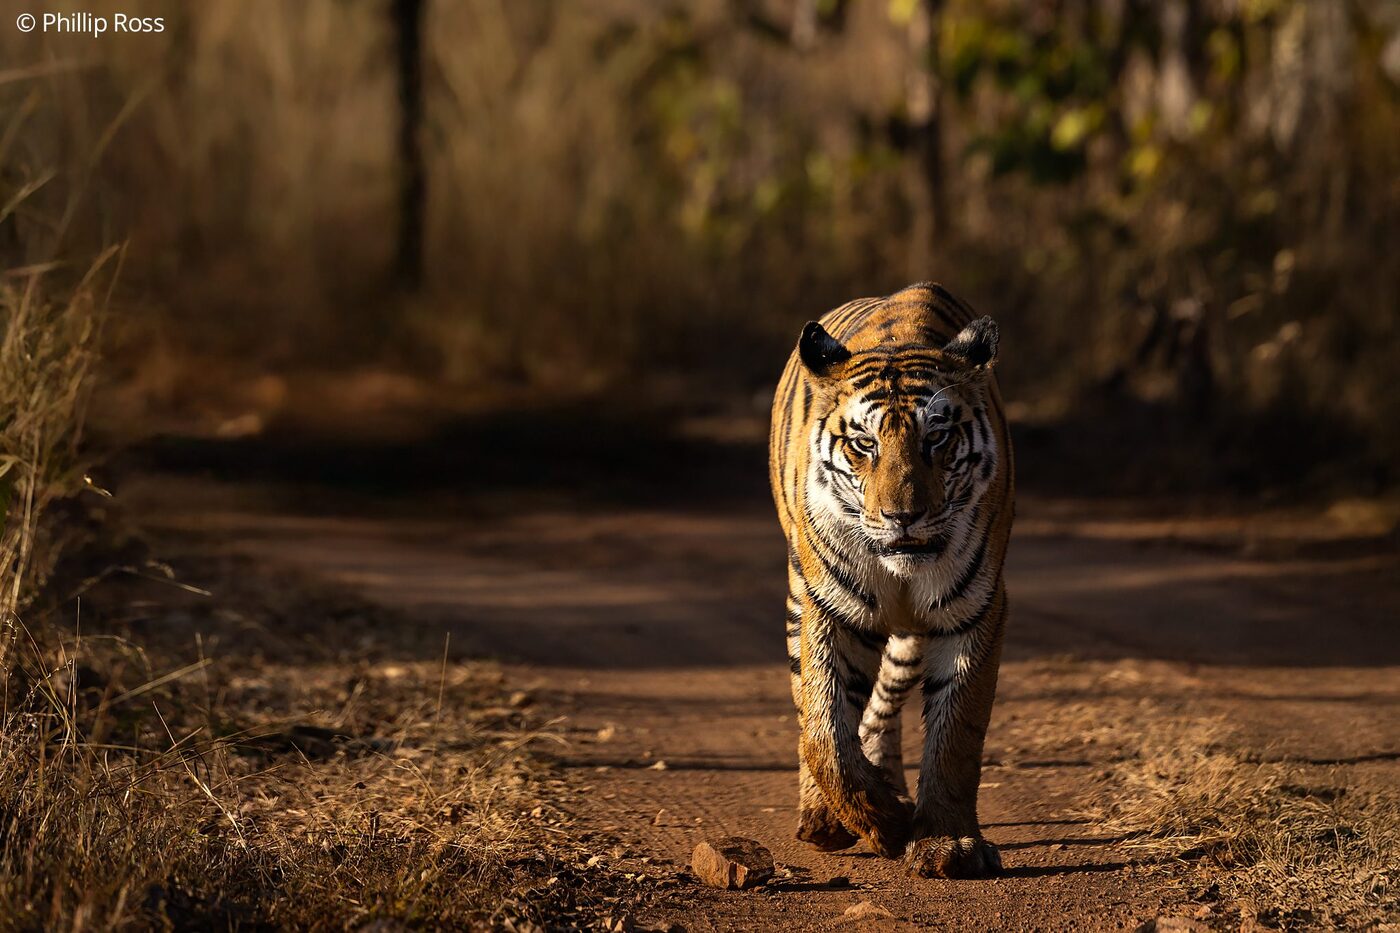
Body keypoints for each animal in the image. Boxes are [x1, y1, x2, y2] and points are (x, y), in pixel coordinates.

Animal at [768, 282, 1013, 879]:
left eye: (937, 438)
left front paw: (947, 843)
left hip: (910, 636)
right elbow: (825, 731)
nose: (903, 516)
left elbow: (956, 734)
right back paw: (823, 816)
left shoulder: (976, 610)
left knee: (883, 702)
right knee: (812, 711)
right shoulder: (827, 608)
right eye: (864, 444)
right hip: (800, 599)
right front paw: (882, 822)